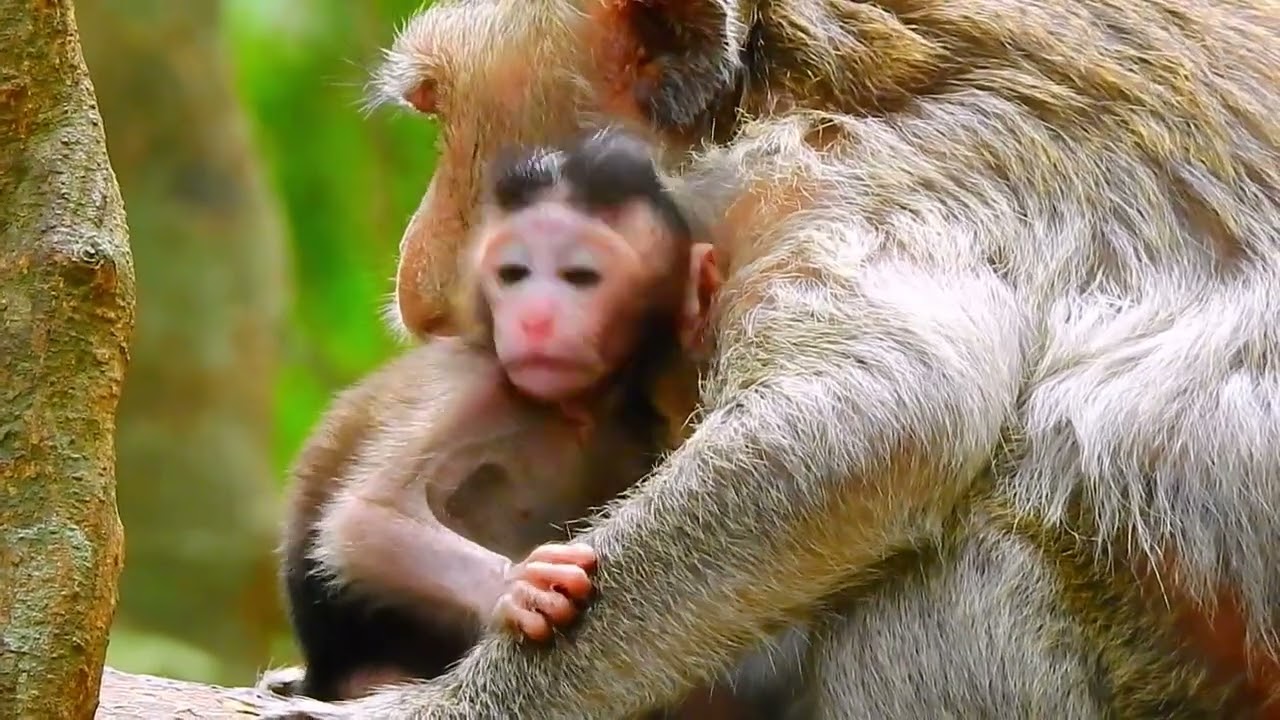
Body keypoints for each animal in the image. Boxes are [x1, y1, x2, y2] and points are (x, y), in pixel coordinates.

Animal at [257, 1, 1280, 719]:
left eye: (444, 121)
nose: (414, 285)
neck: (780, 87)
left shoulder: (861, 174)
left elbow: (875, 410)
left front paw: (448, 706)